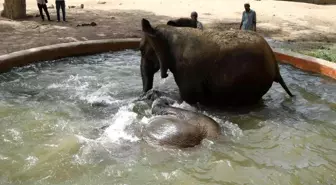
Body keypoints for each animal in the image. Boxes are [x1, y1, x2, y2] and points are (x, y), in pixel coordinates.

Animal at [139, 18, 294, 107]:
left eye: (141, 50)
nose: (143, 95)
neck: (170, 31)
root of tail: (275, 63)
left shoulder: (187, 69)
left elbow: (187, 97)